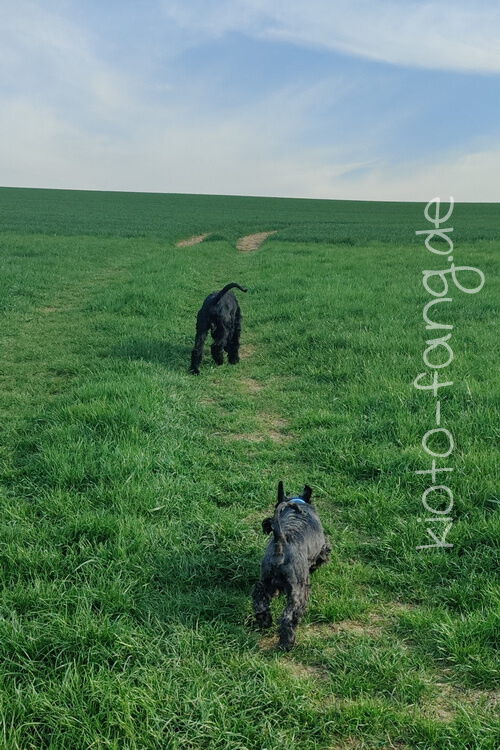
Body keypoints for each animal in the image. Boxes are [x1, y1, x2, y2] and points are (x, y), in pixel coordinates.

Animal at [253, 482, 331, 650]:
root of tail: (280, 542)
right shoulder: (323, 548)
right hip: (298, 589)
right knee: (289, 616)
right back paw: (287, 642)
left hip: (265, 581)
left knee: (259, 600)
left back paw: (264, 621)